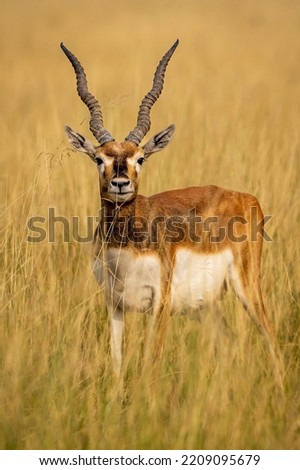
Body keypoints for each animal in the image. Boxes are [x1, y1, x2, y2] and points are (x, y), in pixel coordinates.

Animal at [60, 39, 282, 386]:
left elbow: (151, 363)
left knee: (273, 341)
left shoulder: (160, 304)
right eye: (99, 159)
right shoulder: (114, 304)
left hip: (248, 287)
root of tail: (247, 198)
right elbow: (117, 361)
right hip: (206, 307)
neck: (128, 246)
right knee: (230, 345)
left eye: (140, 158)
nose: (121, 184)